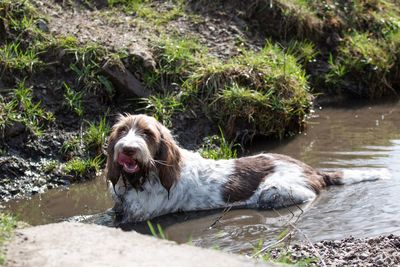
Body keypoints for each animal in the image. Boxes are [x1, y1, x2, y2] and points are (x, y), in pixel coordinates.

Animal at [105, 114, 390, 223]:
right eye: (122, 131)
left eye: (147, 134)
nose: (127, 149)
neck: (144, 175)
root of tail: (312, 170)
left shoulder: (138, 216)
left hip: (273, 191)